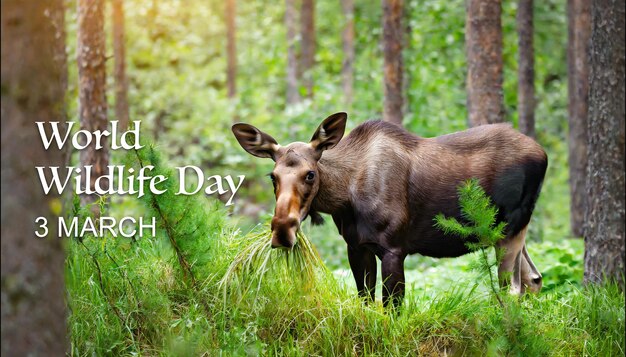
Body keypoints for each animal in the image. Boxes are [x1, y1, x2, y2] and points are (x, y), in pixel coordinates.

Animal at [232, 112, 544, 308]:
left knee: (514, 288)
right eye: (273, 176)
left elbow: (392, 307)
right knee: (534, 279)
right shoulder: (357, 246)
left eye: (310, 174)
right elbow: (366, 301)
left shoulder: (394, 248)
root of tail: (543, 154)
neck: (345, 198)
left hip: (510, 228)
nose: (282, 230)